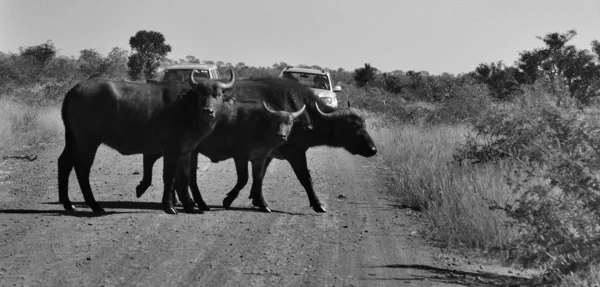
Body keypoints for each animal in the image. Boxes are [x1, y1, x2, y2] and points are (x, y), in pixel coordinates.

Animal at [56, 70, 234, 214]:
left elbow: (185, 177)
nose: (208, 111)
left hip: (72, 140)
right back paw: (94, 205)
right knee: (82, 169)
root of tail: (74, 89)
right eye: (201, 94)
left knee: (64, 163)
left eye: (218, 95)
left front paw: (190, 206)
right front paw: (169, 206)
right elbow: (170, 177)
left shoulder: (186, 152)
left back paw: (68, 204)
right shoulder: (171, 150)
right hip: (87, 142)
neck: (186, 107)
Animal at [138, 79, 378, 214]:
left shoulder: (267, 153)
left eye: (365, 124)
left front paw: (255, 199)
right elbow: (305, 178)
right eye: (355, 126)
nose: (373, 149)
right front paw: (318, 204)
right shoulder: (295, 153)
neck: (301, 112)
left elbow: (258, 177)